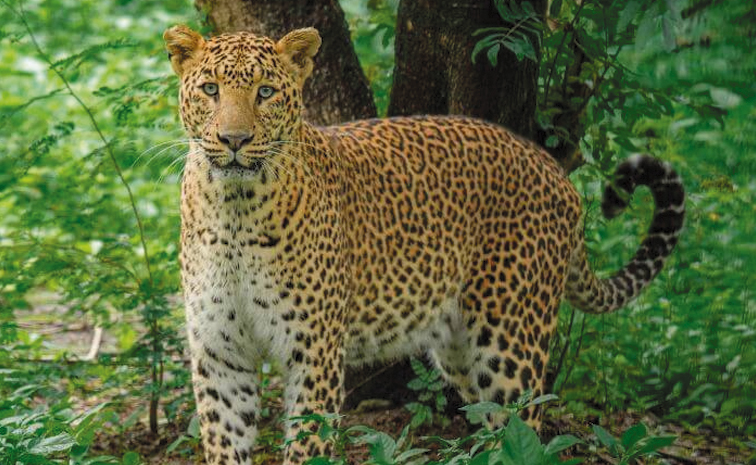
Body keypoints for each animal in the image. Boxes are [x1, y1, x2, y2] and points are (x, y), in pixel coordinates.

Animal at [164, 25, 685, 465]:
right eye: (210, 90)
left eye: (265, 92)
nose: (234, 139)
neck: (235, 210)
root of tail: (554, 169)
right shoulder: (220, 353)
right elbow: (224, 441)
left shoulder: (313, 353)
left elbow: (308, 445)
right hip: (460, 351)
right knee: (496, 430)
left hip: (509, 342)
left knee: (527, 429)